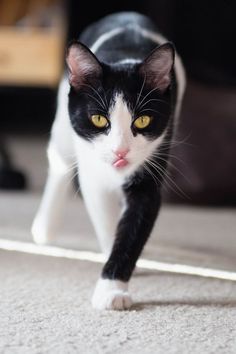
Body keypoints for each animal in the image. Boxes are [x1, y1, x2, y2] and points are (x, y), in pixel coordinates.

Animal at [31, 11, 186, 310]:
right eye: (99, 119)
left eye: (143, 120)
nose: (120, 151)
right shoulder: (93, 175)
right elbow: (104, 217)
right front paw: (110, 276)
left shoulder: (152, 166)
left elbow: (134, 225)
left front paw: (113, 287)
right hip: (63, 126)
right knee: (59, 161)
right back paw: (45, 226)